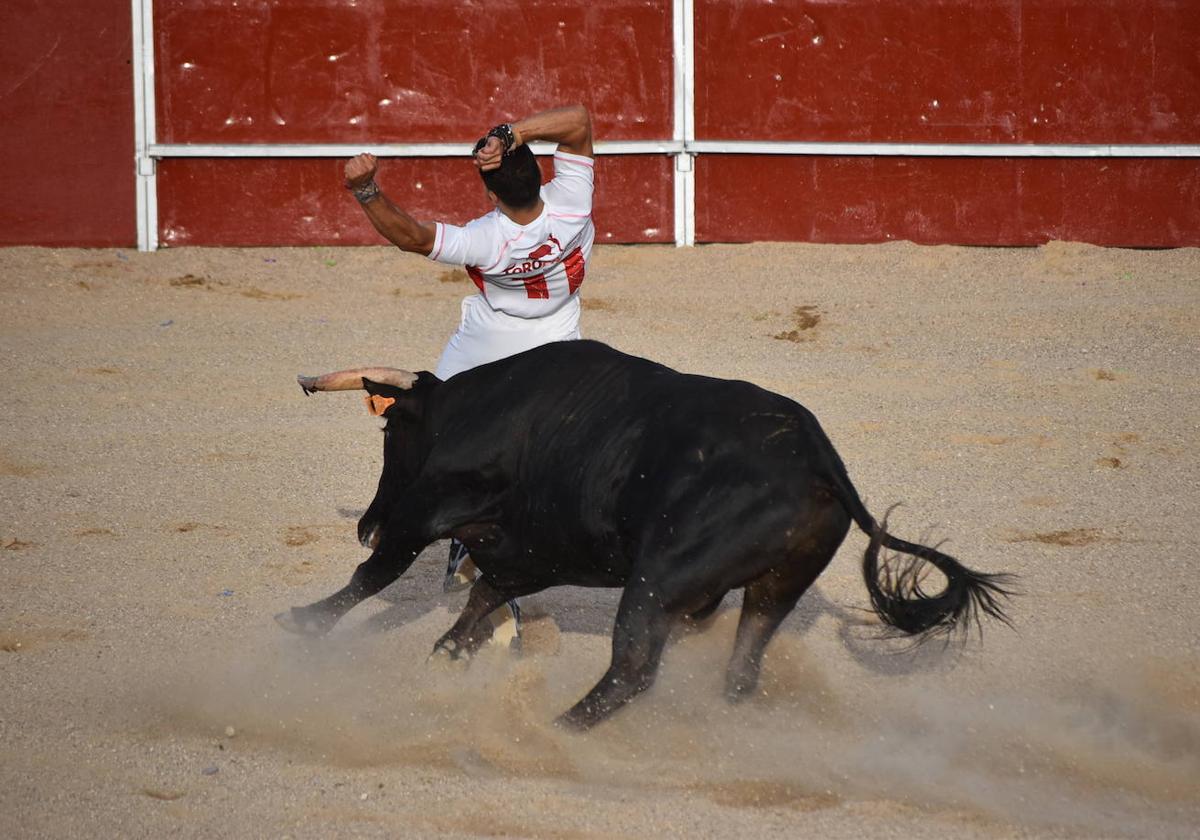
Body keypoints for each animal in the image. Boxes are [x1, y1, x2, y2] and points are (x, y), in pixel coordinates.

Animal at [274, 340, 1012, 729]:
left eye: (390, 430)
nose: (365, 524)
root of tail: (820, 462)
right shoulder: (536, 547)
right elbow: (485, 594)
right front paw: (449, 653)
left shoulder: (430, 510)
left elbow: (379, 575)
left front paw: (302, 622)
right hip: (775, 588)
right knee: (743, 663)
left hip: (657, 583)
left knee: (632, 666)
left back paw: (559, 728)